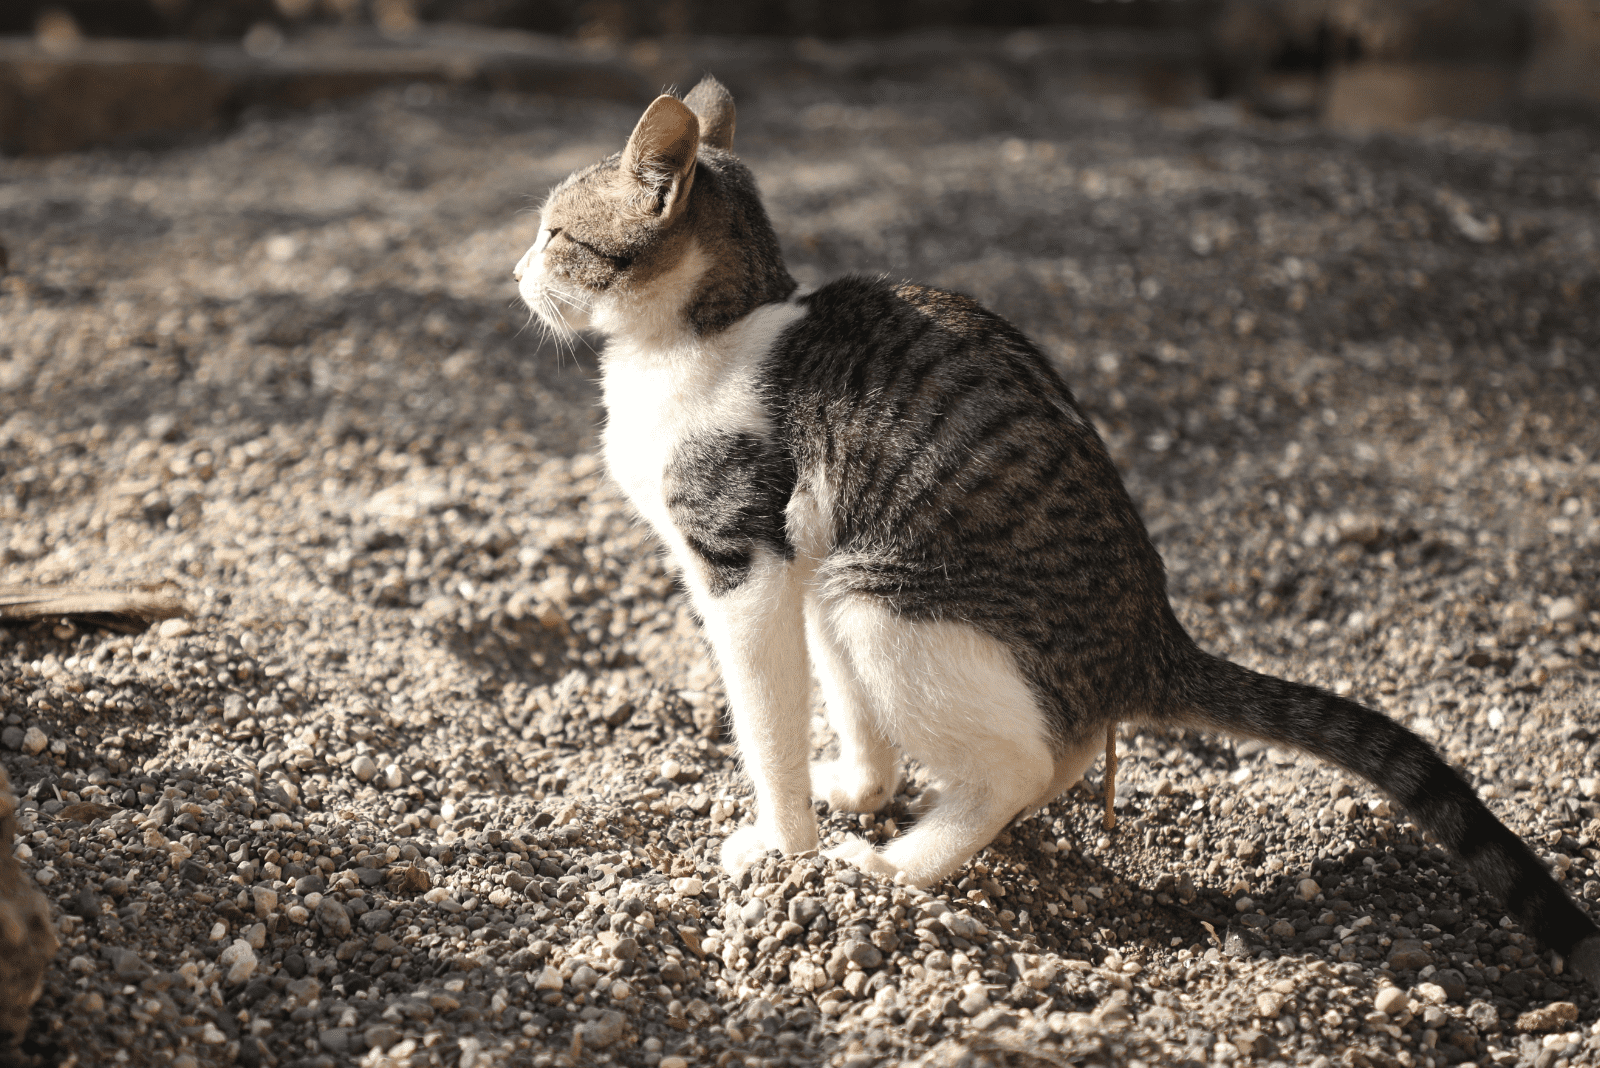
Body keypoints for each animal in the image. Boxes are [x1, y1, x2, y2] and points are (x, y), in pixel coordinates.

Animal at [515, 75, 1600, 991]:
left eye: (556, 232)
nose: (515, 268)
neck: (706, 338)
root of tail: (1151, 637)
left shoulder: (741, 563)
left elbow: (764, 725)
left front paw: (784, 852)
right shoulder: (791, 563)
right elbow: (836, 720)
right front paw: (842, 797)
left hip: (878, 597)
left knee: (1023, 769)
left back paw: (894, 869)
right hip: (841, 576)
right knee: (1051, 751)